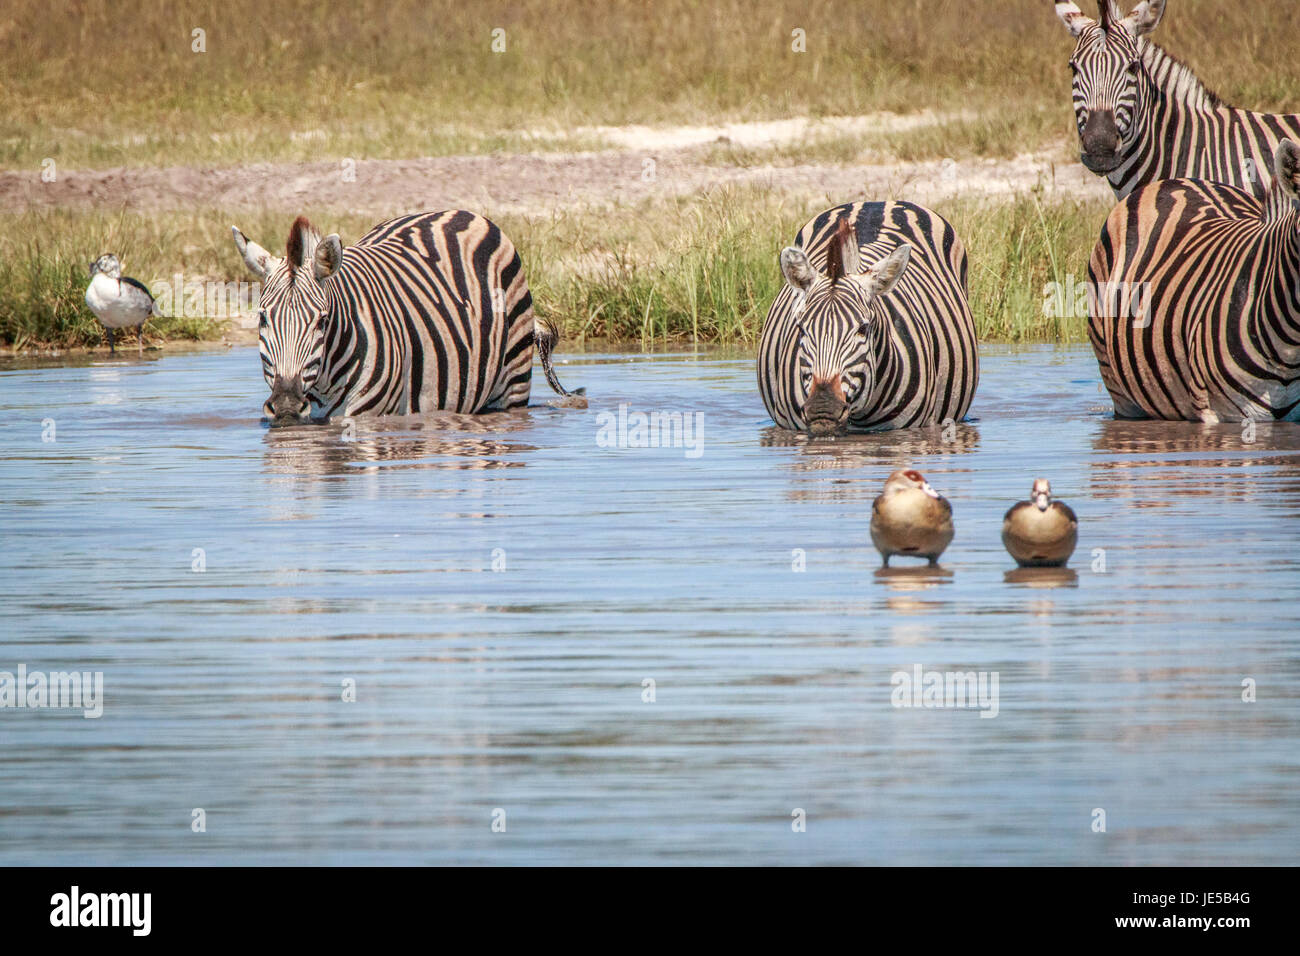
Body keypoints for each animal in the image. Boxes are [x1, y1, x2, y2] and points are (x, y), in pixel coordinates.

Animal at [233, 210, 579, 424]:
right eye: (263, 319)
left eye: (321, 321)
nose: (287, 407)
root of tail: (461, 213)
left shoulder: (368, 416)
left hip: (513, 384)